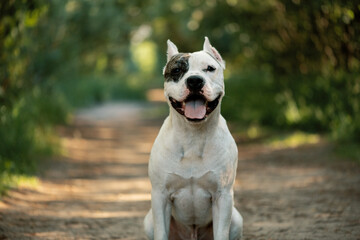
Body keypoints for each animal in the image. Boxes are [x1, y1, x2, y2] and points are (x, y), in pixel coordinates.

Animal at [143, 36, 242, 239]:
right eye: (177, 70)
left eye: (210, 68)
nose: (195, 81)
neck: (193, 136)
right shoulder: (160, 196)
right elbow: (161, 232)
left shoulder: (223, 196)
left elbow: (221, 233)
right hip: (148, 222)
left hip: (237, 219)